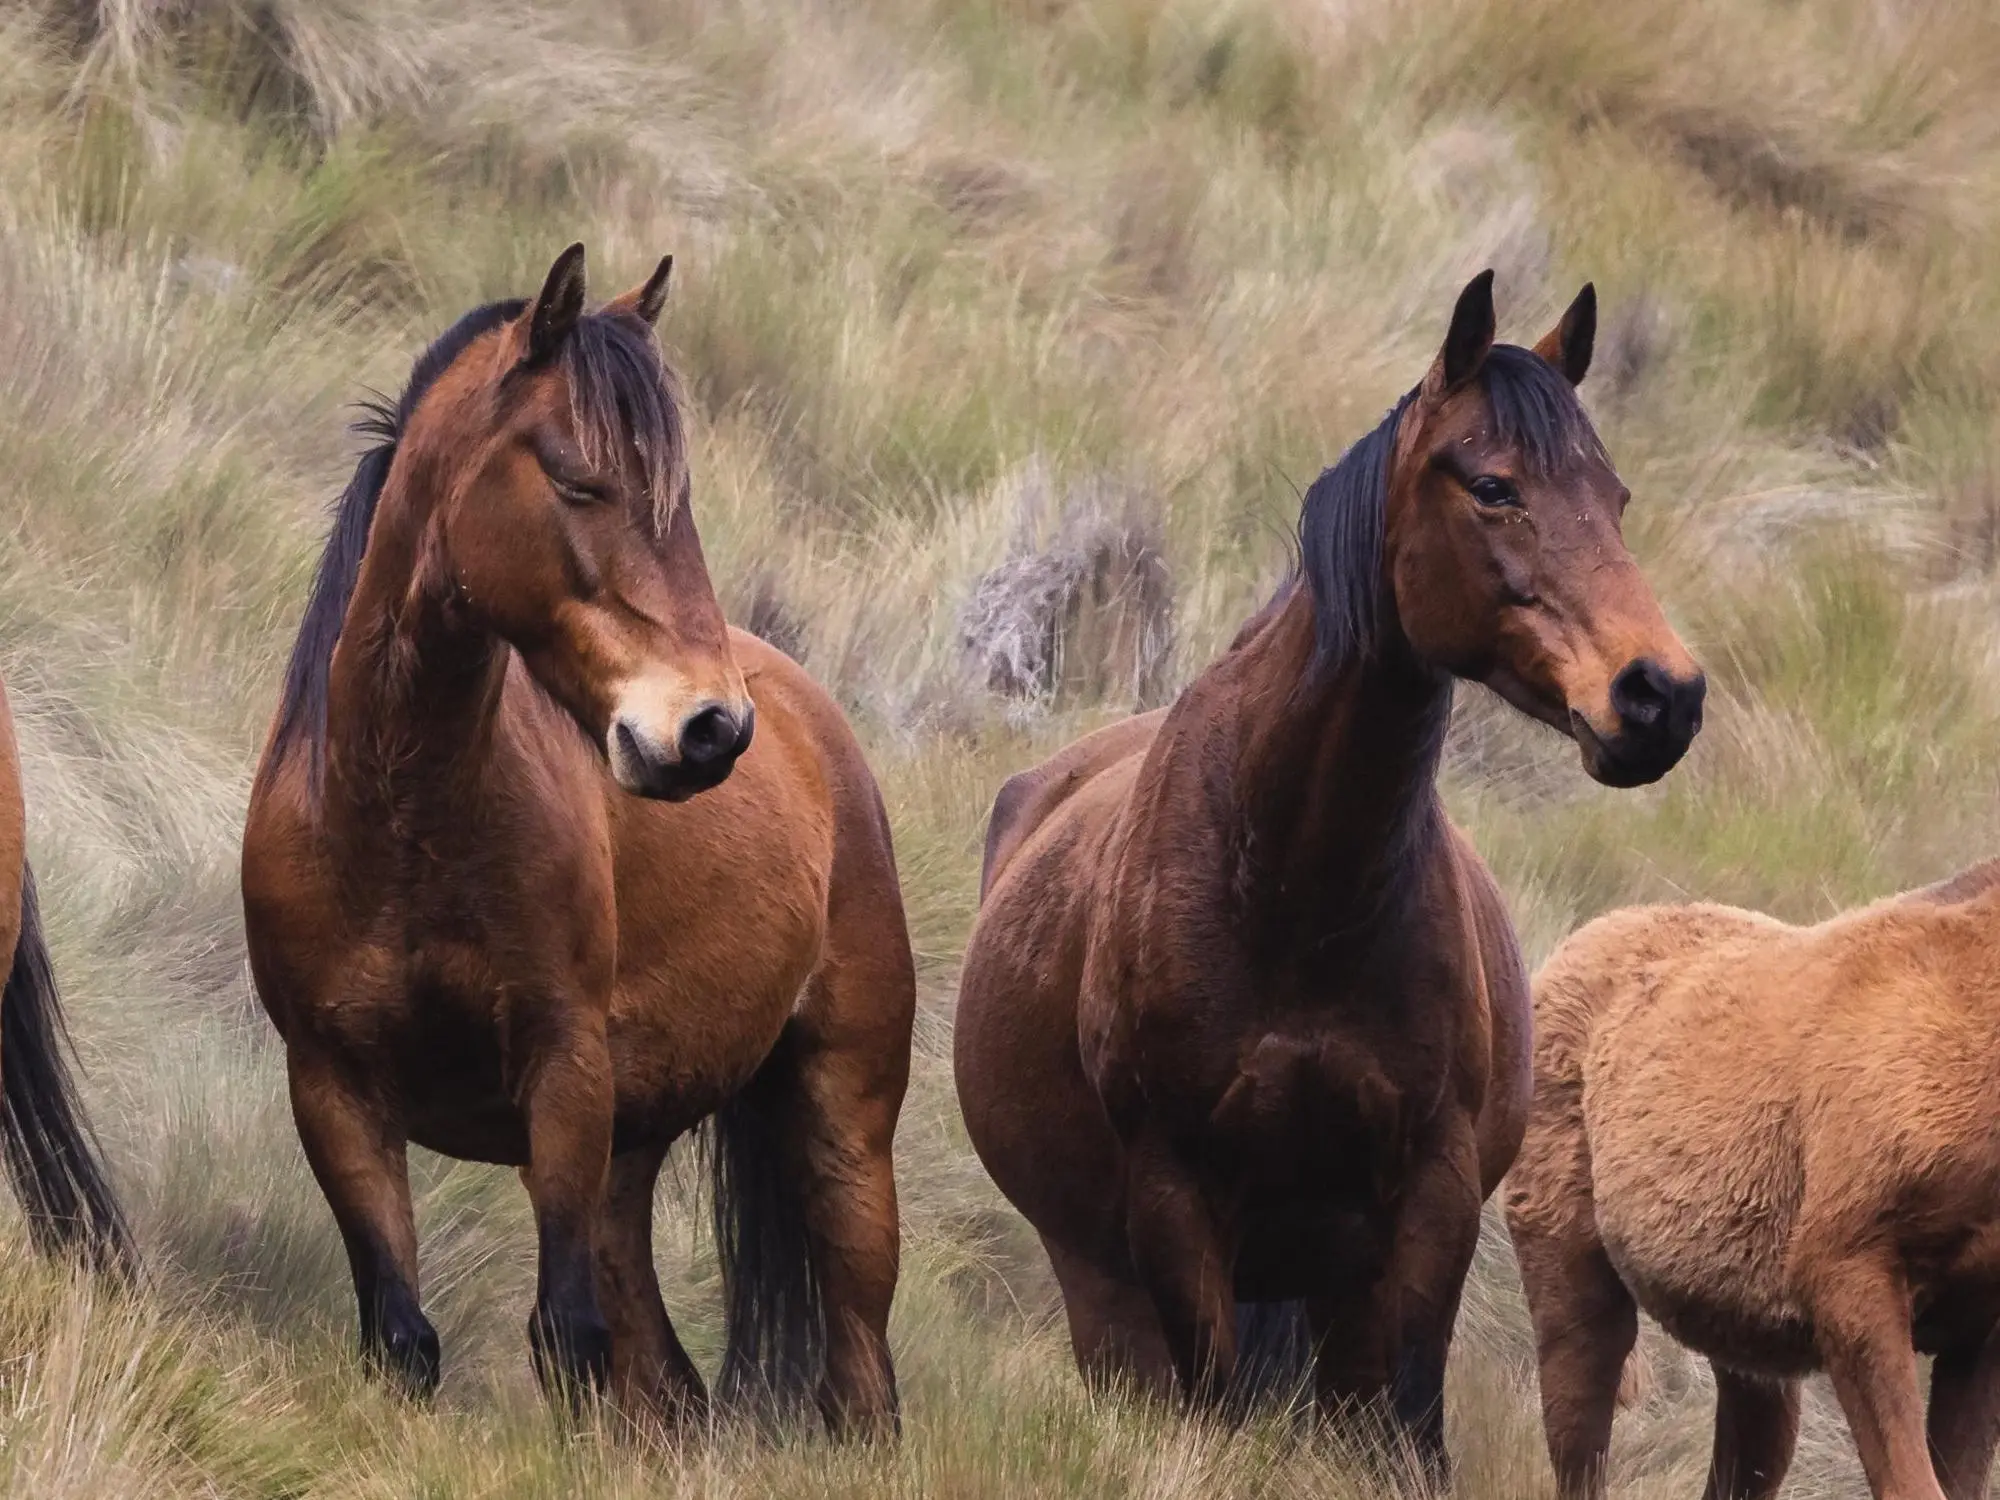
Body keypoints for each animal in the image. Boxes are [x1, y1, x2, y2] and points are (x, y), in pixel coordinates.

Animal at [240, 244, 916, 1432]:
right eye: (574, 479)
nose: (709, 729)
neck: (398, 828)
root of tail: (810, 715)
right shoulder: (335, 1091)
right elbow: (404, 1340)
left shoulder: (562, 1072)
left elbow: (565, 1339)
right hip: (625, 1161)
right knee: (666, 1385)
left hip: (843, 1130)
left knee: (859, 1379)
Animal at [952, 274, 1704, 1480]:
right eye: (1493, 486)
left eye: (1616, 496)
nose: (1660, 697)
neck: (1294, 895)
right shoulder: (1175, 1200)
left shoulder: (1424, 1204)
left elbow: (1389, 1424)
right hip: (1102, 1282)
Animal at [1504, 856, 2000, 1500]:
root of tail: (1560, 957)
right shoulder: (1848, 1262)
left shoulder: (1981, 1326)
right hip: (1571, 1274)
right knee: (1579, 1445)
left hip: (1743, 1335)